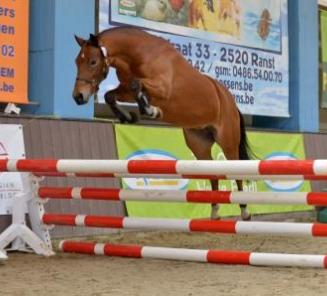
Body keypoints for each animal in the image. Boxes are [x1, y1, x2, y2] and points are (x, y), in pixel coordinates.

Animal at [73, 26, 254, 220]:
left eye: (92, 62)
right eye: (77, 62)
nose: (78, 97)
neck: (139, 54)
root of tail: (230, 101)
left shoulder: (162, 88)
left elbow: (137, 85)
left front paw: (152, 111)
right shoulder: (126, 90)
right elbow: (112, 95)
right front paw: (128, 117)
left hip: (227, 141)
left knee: (236, 171)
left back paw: (245, 211)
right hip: (199, 143)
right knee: (212, 173)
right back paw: (214, 211)